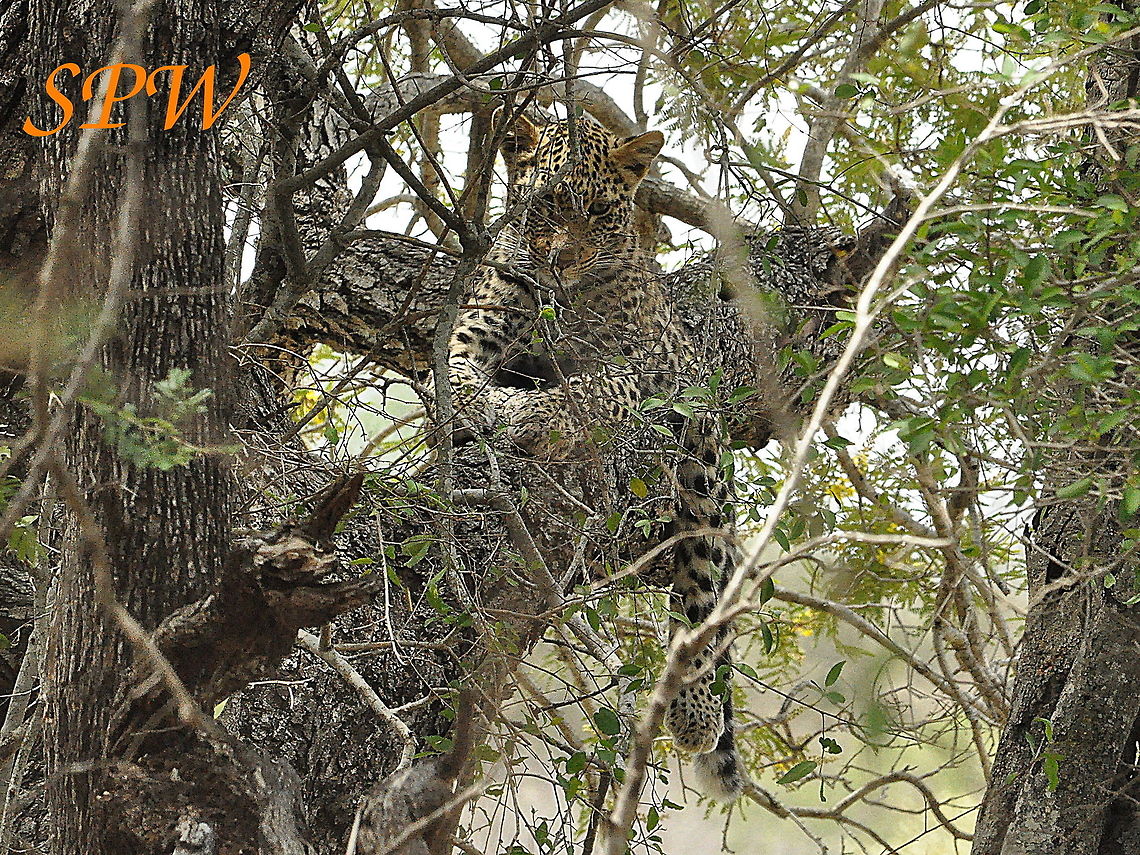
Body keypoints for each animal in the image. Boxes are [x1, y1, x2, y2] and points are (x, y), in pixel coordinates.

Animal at [446, 110, 744, 800]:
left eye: (602, 213)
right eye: (544, 203)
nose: (561, 262)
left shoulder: (648, 365)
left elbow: (592, 388)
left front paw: (532, 416)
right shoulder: (476, 332)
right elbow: (461, 380)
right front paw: (488, 410)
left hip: (702, 464)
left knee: (701, 577)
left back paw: (696, 713)